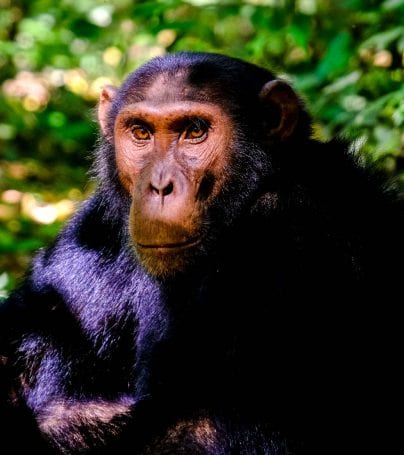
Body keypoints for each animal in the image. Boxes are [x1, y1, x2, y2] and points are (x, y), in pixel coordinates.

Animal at [0, 51, 400, 454]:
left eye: (195, 131)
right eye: (141, 133)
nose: (160, 185)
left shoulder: (289, 226)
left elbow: (200, 421)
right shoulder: (93, 228)